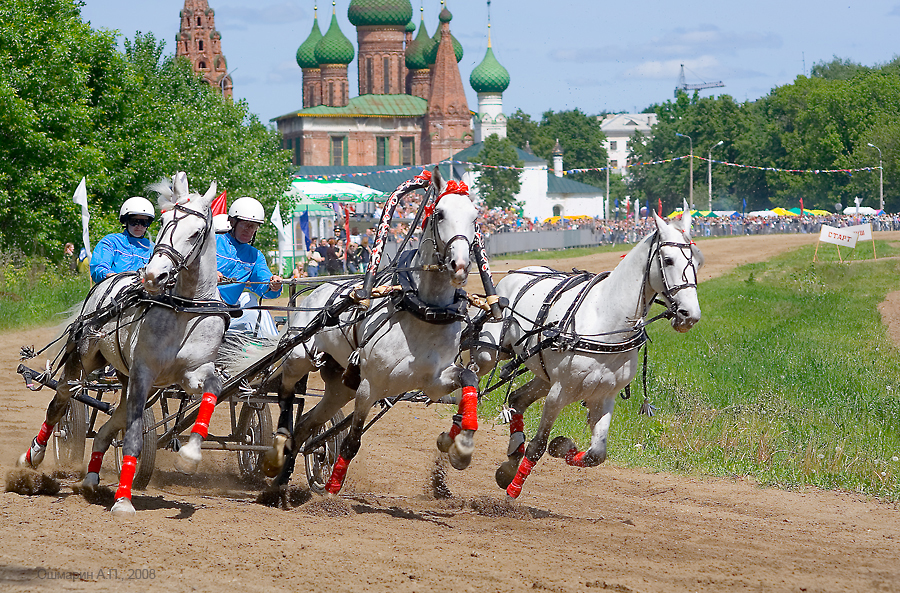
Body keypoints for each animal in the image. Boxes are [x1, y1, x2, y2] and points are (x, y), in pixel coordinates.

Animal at [18, 171, 229, 512]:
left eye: (196, 232)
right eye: (164, 221)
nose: (153, 276)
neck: (183, 309)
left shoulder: (190, 373)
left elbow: (213, 390)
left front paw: (190, 454)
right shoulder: (144, 373)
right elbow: (132, 437)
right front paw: (123, 501)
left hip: (133, 382)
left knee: (108, 426)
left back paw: (91, 479)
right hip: (86, 361)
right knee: (60, 402)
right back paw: (33, 455)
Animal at [250, 168, 482, 490]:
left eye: (474, 216)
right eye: (439, 213)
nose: (459, 264)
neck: (423, 312)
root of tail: (314, 293)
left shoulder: (434, 381)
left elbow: (469, 379)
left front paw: (459, 445)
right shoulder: (370, 387)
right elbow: (352, 441)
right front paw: (333, 485)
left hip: (339, 386)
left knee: (306, 423)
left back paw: (281, 480)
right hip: (300, 356)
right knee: (286, 394)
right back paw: (277, 448)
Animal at [472, 206, 704, 498]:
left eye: (697, 262)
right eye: (669, 260)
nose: (689, 315)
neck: (606, 321)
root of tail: (519, 273)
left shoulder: (603, 396)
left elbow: (597, 454)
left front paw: (561, 447)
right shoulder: (559, 392)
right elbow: (537, 446)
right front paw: (514, 488)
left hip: (543, 375)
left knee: (516, 398)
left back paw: (512, 456)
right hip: (490, 354)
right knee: (468, 375)